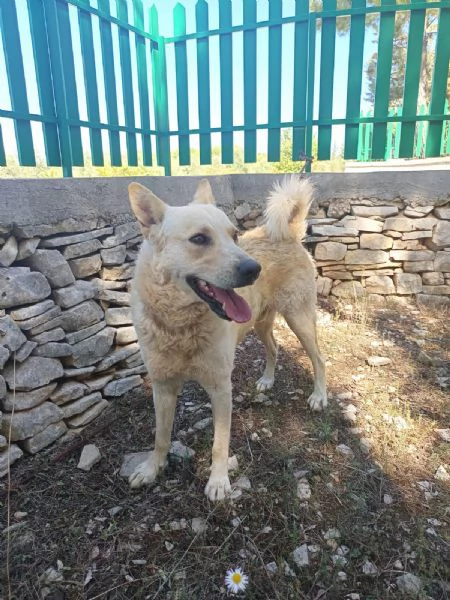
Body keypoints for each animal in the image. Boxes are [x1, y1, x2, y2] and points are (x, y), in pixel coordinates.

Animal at [126, 176, 326, 500]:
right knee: (274, 348)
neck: (180, 326)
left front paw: (219, 482)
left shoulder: (221, 389)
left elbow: (219, 443)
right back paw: (267, 380)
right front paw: (151, 468)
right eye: (199, 239)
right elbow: (161, 436)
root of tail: (288, 233)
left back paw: (320, 396)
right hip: (260, 324)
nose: (254, 269)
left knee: (319, 359)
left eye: (234, 236)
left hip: (300, 319)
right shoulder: (162, 387)